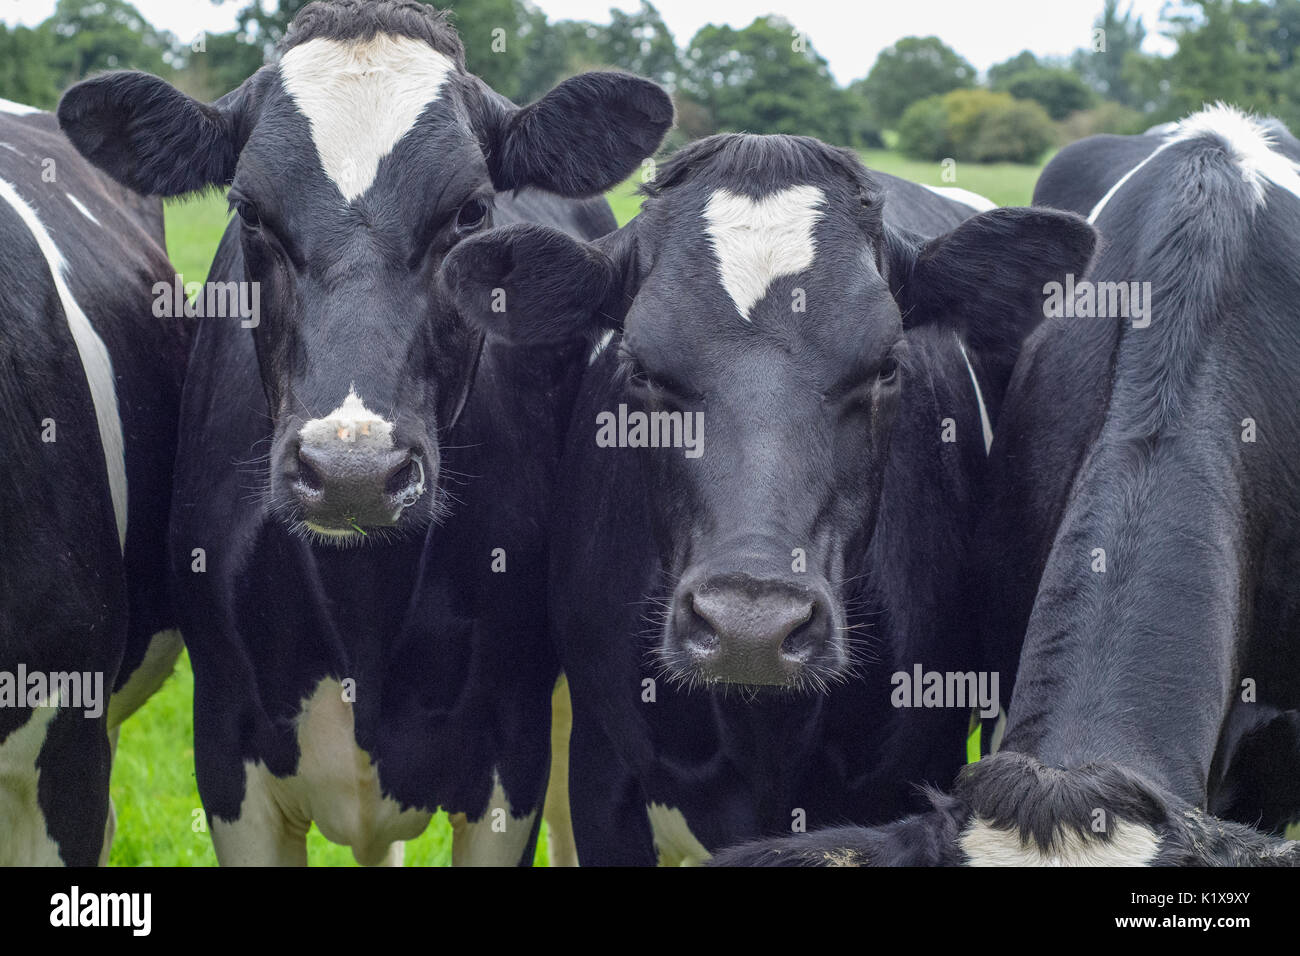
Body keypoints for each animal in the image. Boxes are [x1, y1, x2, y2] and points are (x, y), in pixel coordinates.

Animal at [57, 0, 672, 865]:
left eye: (471, 211)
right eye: (249, 210)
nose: (351, 472)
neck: (363, 604)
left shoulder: (511, 752)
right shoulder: (229, 752)